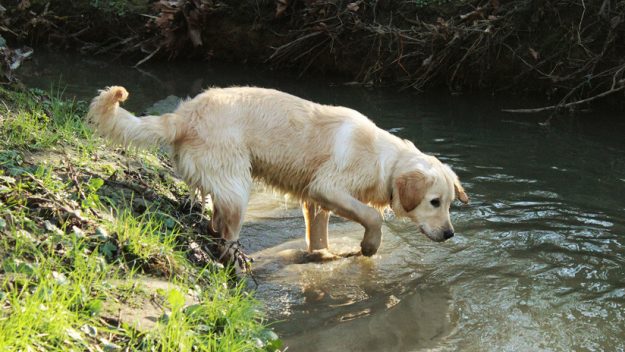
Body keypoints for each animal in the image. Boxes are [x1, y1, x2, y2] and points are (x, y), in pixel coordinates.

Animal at [88, 85, 468, 256]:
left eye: (450, 203)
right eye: (434, 202)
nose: (450, 234)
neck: (382, 159)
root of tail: (183, 115)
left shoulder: (315, 202)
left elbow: (319, 239)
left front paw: (322, 257)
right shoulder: (327, 187)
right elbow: (372, 216)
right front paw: (369, 246)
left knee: (215, 222)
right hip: (237, 186)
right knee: (227, 231)